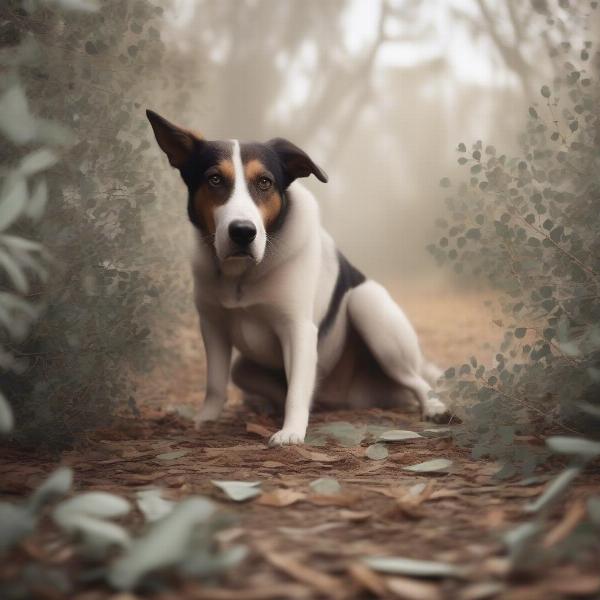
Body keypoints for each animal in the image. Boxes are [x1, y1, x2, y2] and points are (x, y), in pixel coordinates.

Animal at [144, 110, 446, 446]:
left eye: (264, 182)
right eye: (214, 179)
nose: (242, 232)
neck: (242, 276)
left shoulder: (298, 329)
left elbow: (297, 390)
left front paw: (290, 431)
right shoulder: (212, 326)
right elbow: (215, 384)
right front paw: (205, 420)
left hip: (369, 309)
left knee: (416, 380)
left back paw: (433, 406)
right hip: (245, 368)